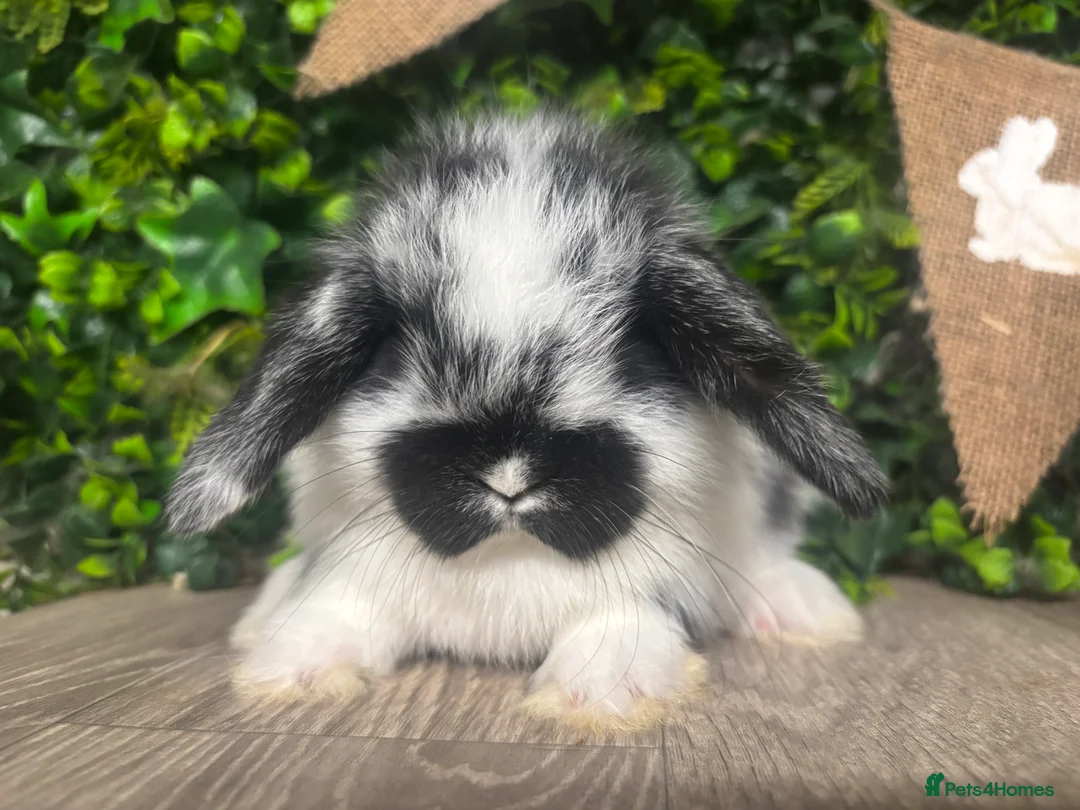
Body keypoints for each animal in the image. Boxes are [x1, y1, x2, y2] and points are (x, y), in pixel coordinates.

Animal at [166, 108, 888, 732]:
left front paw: (602, 692)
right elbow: (338, 604)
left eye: (635, 350)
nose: (509, 478)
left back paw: (802, 609)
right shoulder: (353, 564)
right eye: (393, 350)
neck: (508, 559)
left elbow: (623, 621)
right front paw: (296, 669)